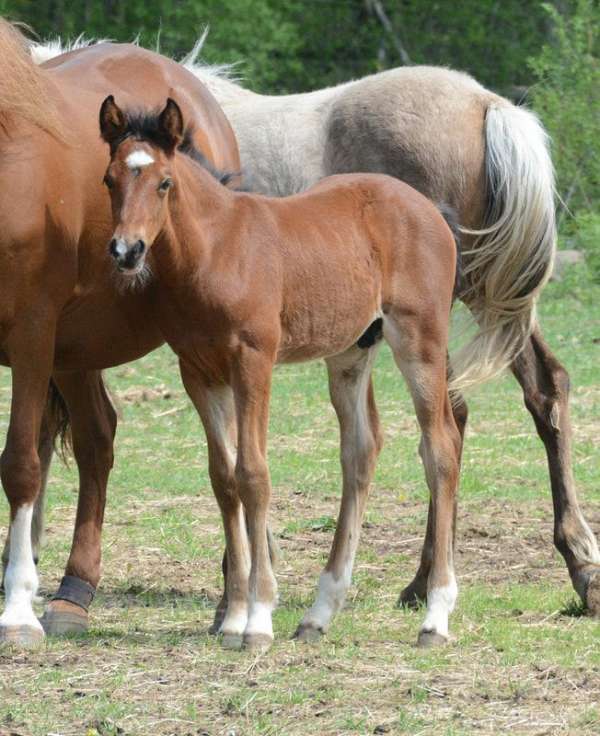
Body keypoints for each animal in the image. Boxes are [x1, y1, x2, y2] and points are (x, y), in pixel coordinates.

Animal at [0, 21, 240, 648]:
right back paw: (72, 593)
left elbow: (20, 465)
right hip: (75, 350)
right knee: (96, 439)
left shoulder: (31, 336)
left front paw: (16, 611)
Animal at [99, 94, 465, 649]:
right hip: (351, 351)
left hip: (419, 339)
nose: (126, 251)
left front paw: (258, 617)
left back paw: (436, 615)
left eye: (163, 182)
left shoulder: (253, 361)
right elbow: (223, 478)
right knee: (361, 452)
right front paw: (232, 617)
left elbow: (253, 475)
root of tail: (428, 207)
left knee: (440, 446)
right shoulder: (198, 372)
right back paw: (319, 612)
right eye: (109, 179)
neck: (215, 250)